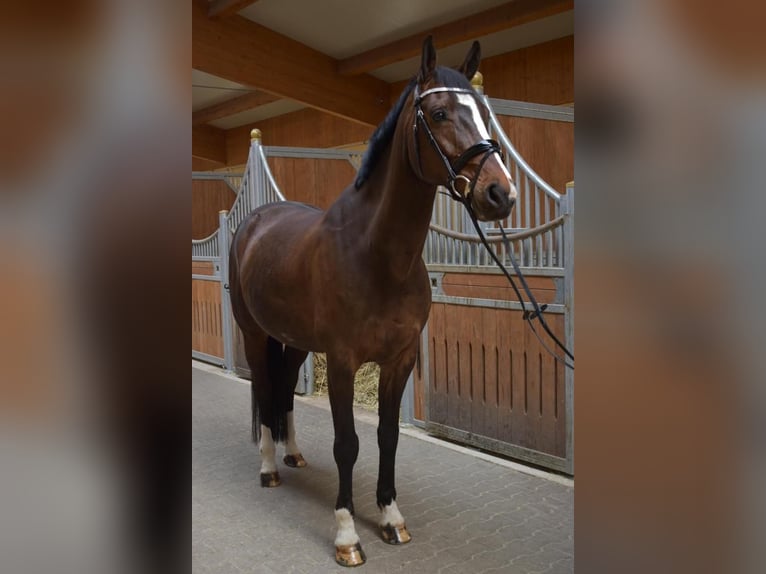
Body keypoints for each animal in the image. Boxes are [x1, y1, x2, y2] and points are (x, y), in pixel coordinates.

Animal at [228, 36, 516, 567]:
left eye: (485, 113)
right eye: (440, 113)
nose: (500, 194)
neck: (376, 255)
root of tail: (254, 221)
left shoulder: (398, 360)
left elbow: (387, 436)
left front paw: (390, 517)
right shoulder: (343, 361)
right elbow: (348, 442)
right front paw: (347, 535)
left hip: (296, 340)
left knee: (284, 390)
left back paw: (293, 453)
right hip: (256, 334)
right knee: (263, 386)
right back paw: (269, 468)